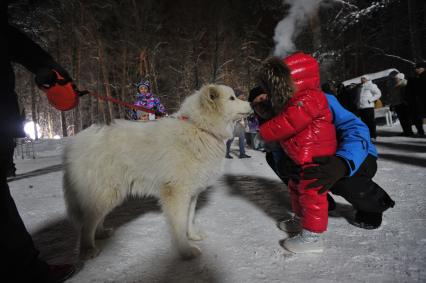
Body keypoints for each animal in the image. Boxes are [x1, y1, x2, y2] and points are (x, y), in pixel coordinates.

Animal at [63, 84, 253, 260]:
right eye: (232, 98)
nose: (251, 103)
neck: (200, 127)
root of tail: (78, 142)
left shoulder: (192, 193)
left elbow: (189, 218)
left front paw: (193, 236)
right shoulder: (176, 193)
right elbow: (179, 223)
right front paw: (185, 251)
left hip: (109, 194)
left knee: (95, 220)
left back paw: (101, 234)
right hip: (106, 193)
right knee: (86, 225)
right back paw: (88, 250)